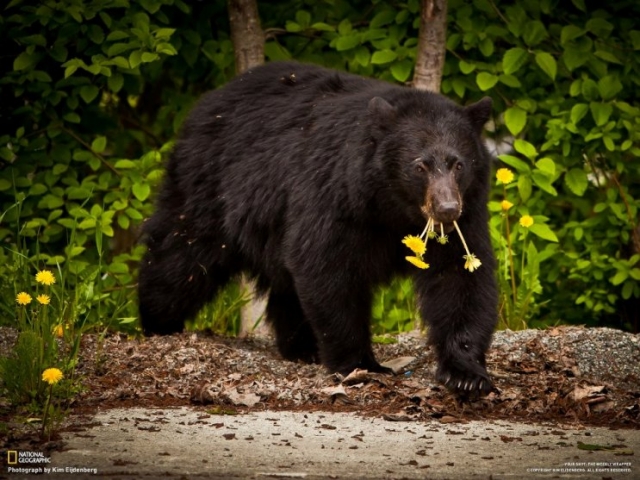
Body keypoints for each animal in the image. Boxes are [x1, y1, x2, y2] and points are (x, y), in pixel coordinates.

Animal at [139, 61, 500, 394]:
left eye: (458, 164)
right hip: (212, 185)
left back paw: (301, 347)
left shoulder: (467, 215)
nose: (447, 209)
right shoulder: (335, 195)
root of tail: (208, 100)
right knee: (183, 255)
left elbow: (460, 276)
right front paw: (360, 363)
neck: (391, 207)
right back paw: (158, 321)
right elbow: (327, 266)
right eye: (420, 165)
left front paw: (466, 372)